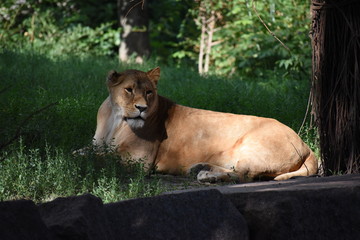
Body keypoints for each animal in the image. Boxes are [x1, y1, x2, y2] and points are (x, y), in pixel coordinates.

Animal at [87, 66, 318, 183]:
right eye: (128, 90)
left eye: (149, 92)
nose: (142, 108)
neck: (115, 119)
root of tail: (305, 145)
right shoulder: (99, 144)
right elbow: (89, 151)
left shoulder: (138, 160)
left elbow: (101, 157)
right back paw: (200, 167)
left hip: (252, 147)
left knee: (245, 175)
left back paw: (207, 176)